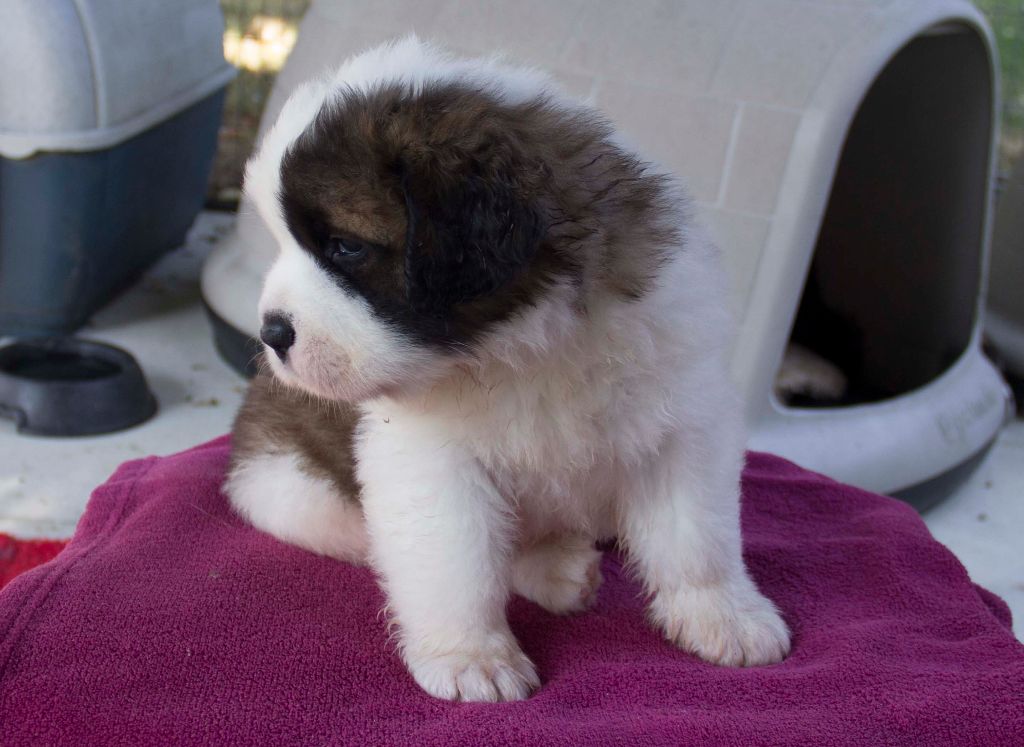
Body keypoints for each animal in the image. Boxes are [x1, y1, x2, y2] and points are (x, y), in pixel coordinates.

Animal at [226, 36, 790, 702]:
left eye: (346, 247)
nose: (272, 333)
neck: (522, 349)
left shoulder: (683, 419)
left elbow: (697, 535)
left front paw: (723, 613)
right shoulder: (429, 463)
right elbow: (455, 559)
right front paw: (471, 652)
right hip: (293, 496)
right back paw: (554, 570)